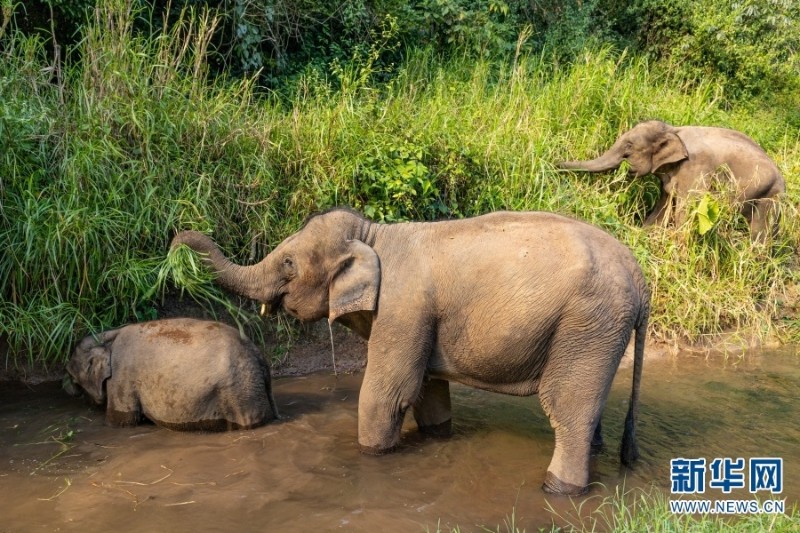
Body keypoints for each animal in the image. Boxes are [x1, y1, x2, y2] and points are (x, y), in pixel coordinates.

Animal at [64, 318, 280, 430]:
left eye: (73, 374)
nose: (67, 388)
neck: (106, 336)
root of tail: (258, 355)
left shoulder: (121, 378)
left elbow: (122, 420)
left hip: (241, 391)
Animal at [170, 209, 648, 494]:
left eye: (289, 265)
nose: (176, 243)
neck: (373, 235)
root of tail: (640, 277)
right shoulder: (423, 319)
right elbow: (429, 390)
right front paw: (437, 438)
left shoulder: (403, 309)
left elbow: (387, 394)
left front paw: (369, 459)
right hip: (598, 332)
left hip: (588, 323)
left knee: (567, 409)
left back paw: (559, 490)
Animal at [560, 120, 784, 241]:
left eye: (629, 147)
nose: (555, 163)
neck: (673, 129)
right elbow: (664, 205)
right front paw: (646, 233)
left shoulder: (696, 169)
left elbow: (686, 210)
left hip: (769, 197)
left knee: (759, 233)